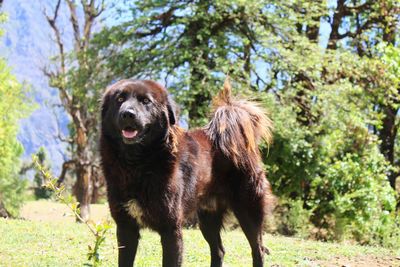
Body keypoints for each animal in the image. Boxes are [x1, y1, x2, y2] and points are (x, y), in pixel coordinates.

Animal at [100, 78, 276, 267]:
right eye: (119, 99)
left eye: (146, 101)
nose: (128, 114)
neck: (137, 163)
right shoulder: (126, 227)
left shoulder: (171, 228)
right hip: (208, 218)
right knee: (219, 250)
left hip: (248, 211)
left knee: (258, 250)